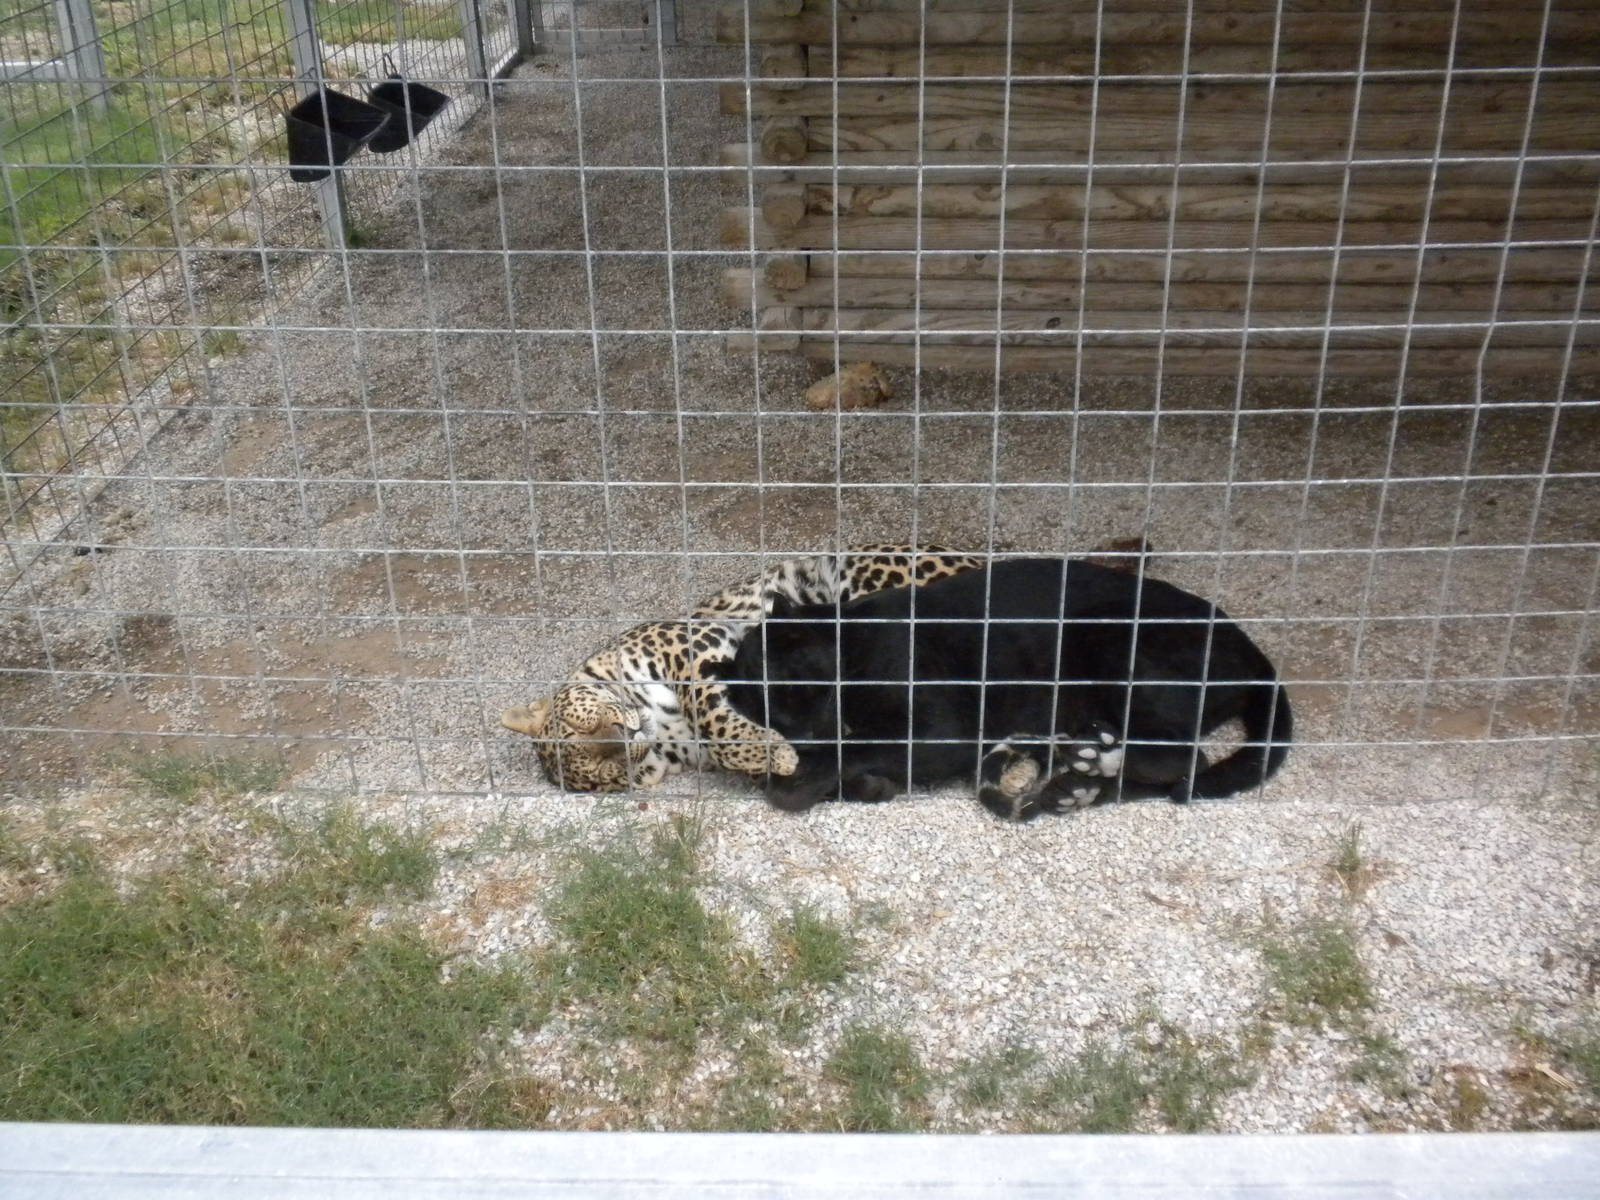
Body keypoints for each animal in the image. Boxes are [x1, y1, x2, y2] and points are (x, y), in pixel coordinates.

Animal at [498, 544, 980, 792]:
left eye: (583, 722)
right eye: (606, 770)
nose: (629, 735)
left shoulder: (696, 644)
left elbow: (714, 717)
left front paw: (778, 753)